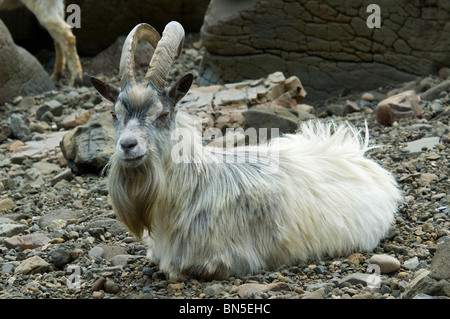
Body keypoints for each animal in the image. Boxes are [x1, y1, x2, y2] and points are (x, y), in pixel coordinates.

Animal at [89, 21, 402, 282]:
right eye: (114, 114)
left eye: (163, 114)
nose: (128, 146)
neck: (188, 189)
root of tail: (358, 153)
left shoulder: (217, 262)